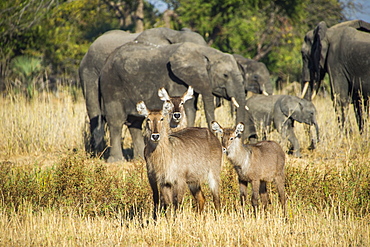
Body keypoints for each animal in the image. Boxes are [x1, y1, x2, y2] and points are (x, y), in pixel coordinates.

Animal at [99, 41, 247, 163]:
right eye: (225, 75)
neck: (205, 52)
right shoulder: (176, 79)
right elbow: (189, 109)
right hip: (111, 84)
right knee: (116, 120)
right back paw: (116, 161)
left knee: (135, 122)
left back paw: (140, 158)